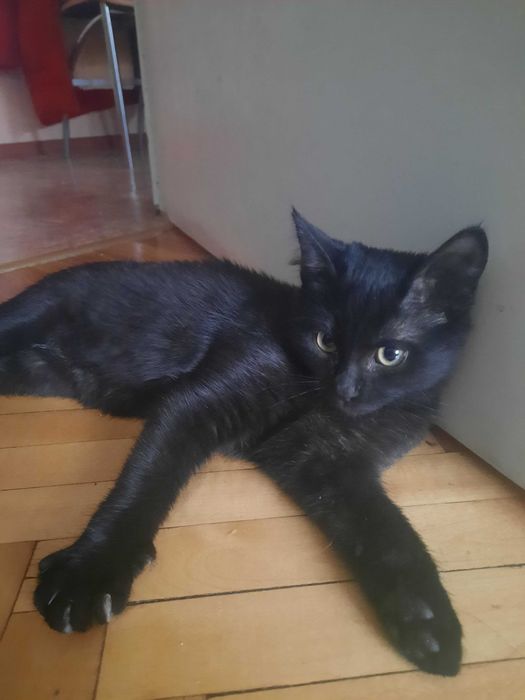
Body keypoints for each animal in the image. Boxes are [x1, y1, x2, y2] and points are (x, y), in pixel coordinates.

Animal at [0, 209, 487, 675]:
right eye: (325, 341)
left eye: (390, 354)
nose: (345, 388)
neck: (316, 400)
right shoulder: (196, 405)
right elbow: (143, 483)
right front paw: (90, 571)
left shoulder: (328, 464)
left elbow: (386, 531)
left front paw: (427, 620)